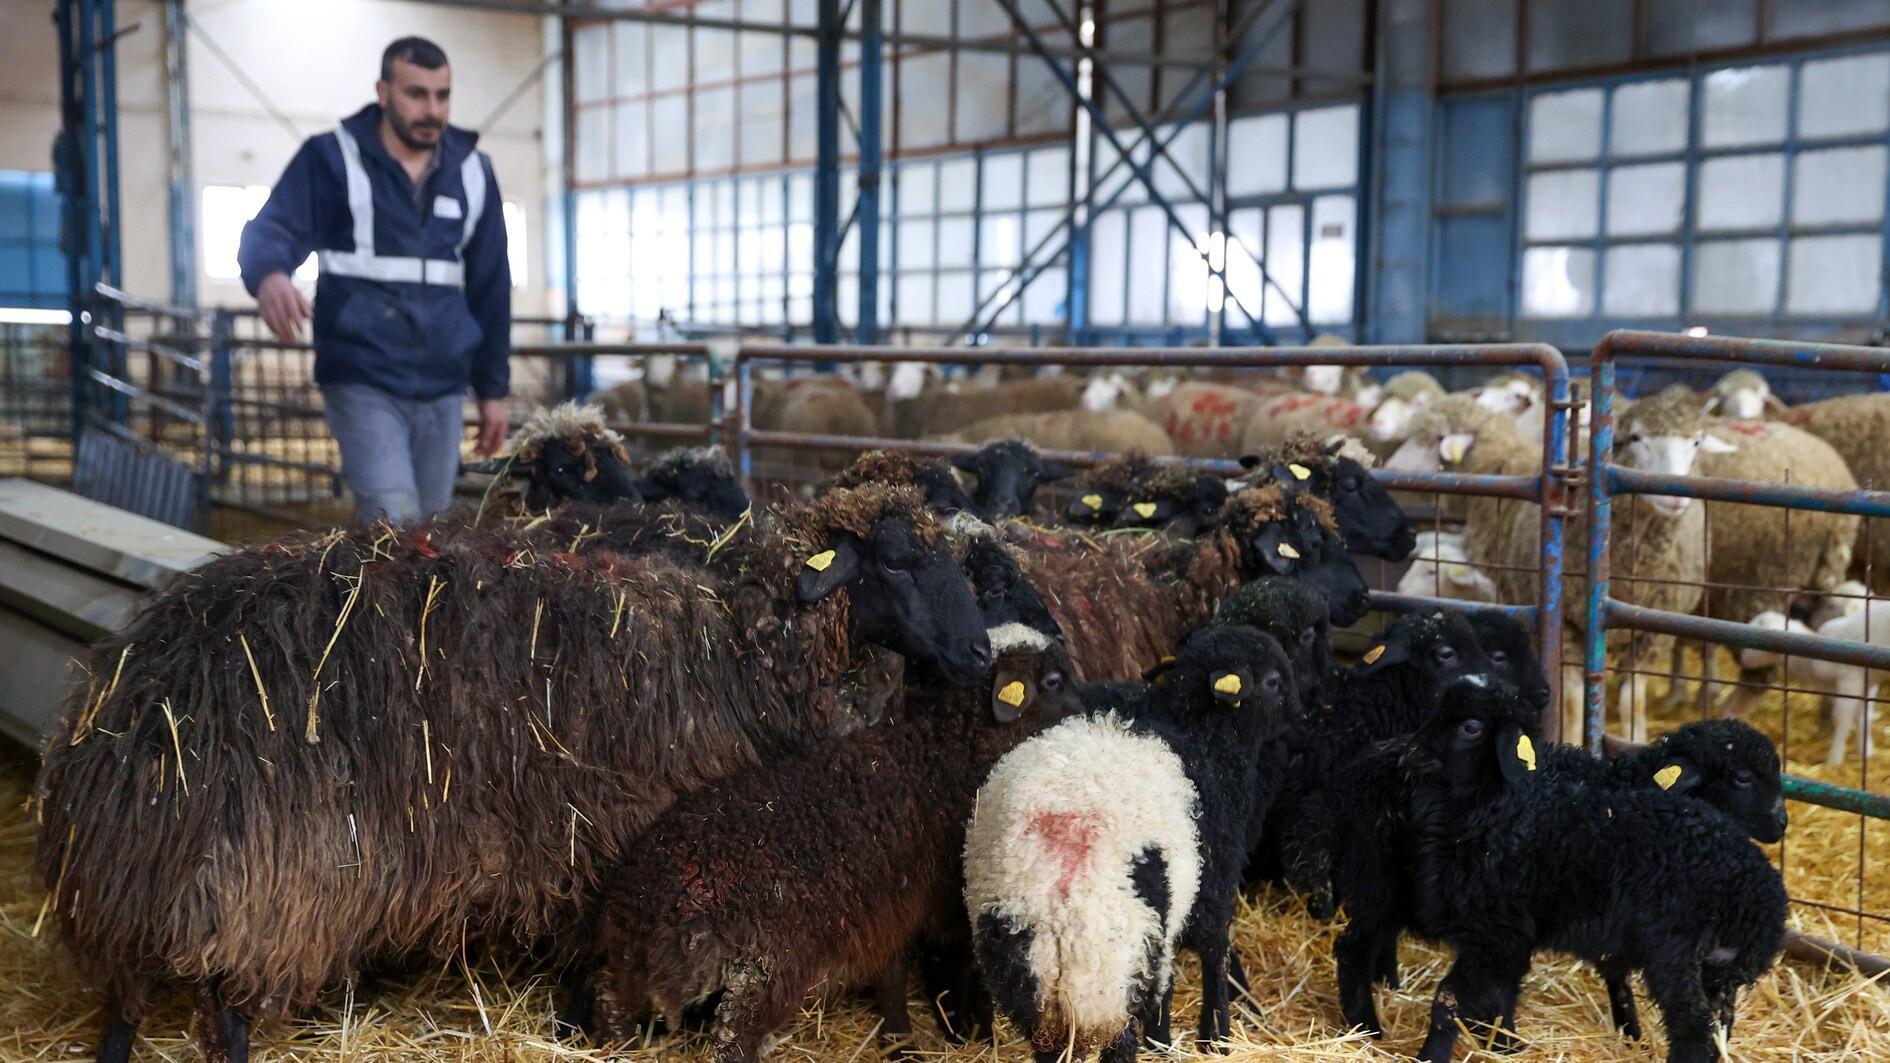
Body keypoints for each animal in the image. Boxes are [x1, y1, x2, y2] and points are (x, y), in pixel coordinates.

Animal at [34, 484, 991, 1062]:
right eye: (897, 559)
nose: (982, 654)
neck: (737, 650)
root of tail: (110, 723)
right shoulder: (599, 844)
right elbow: (589, 960)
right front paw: (588, 1029)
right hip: (254, 891)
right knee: (223, 1016)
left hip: (152, 897)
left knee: (124, 1005)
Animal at [967, 625, 1299, 1059]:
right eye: (1274, 680)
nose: (1302, 714)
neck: (1203, 736)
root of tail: (1054, 890)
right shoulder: (1213, 880)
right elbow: (1213, 957)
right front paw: (1213, 1038)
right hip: (1109, 977)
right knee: (1122, 1042)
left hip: (1032, 989)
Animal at [1328, 709, 1784, 1045]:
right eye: (1743, 777)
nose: (1782, 823)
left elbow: (1610, 970)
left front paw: (1629, 1033)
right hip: (1383, 880)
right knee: (1354, 947)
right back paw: (1368, 1027)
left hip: (1382, 880)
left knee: (1373, 940)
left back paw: (1384, 991)